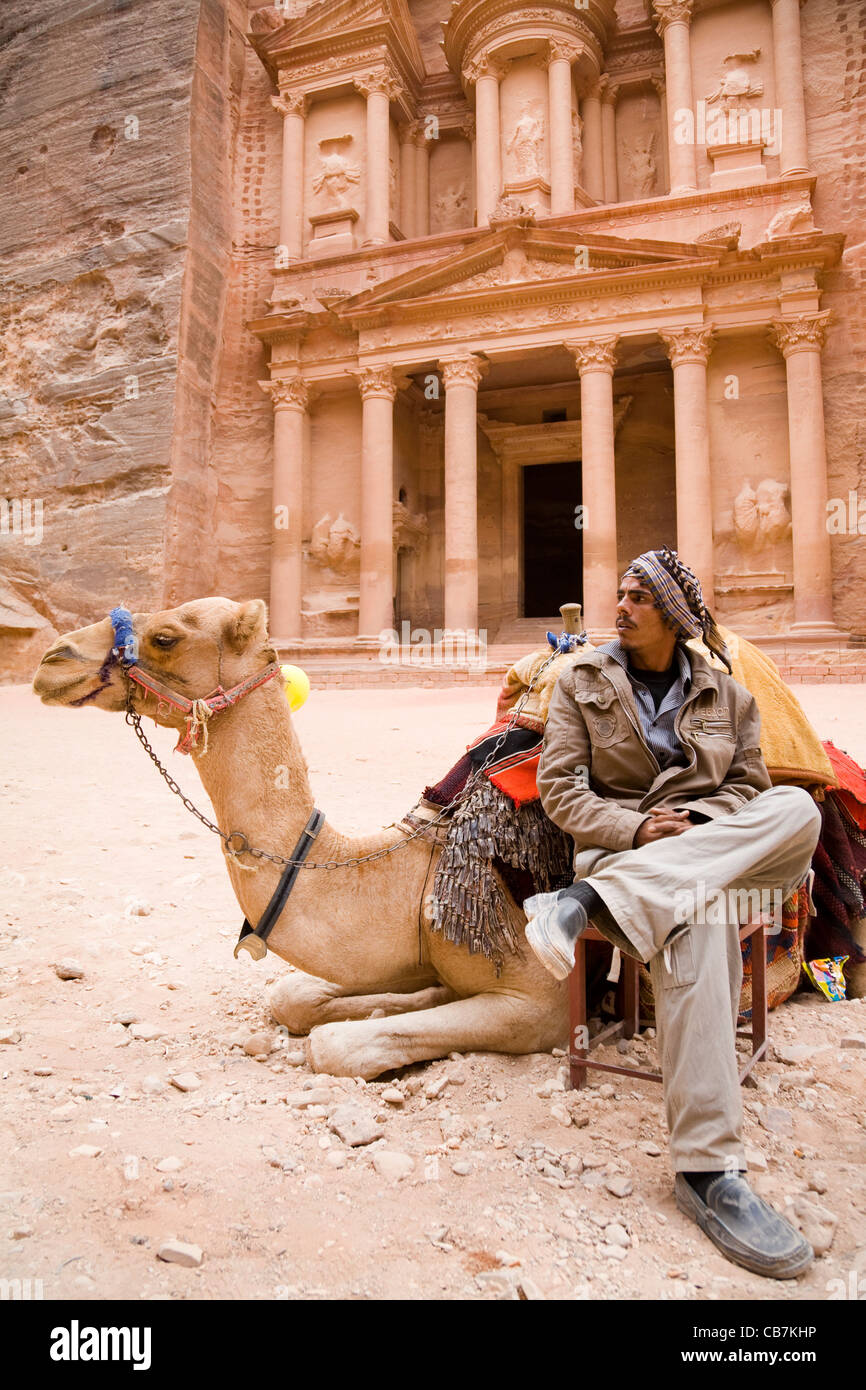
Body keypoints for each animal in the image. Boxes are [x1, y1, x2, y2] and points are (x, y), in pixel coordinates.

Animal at [32, 594, 569, 1073]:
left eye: (165, 637)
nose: (52, 658)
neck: (413, 873)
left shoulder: (542, 1001)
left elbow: (333, 1046)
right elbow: (290, 996)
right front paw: (411, 997)